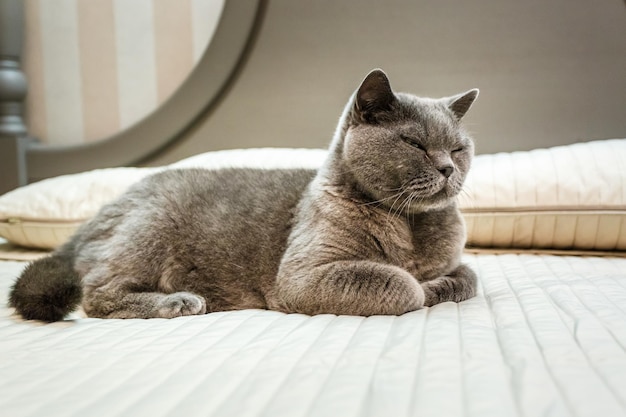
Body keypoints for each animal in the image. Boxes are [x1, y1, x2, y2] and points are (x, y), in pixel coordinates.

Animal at [8, 70, 478, 320]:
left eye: (459, 148)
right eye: (415, 144)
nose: (448, 168)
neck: (411, 225)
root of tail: (93, 219)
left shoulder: (456, 261)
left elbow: (468, 277)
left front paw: (440, 284)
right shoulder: (303, 276)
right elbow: (403, 286)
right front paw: (422, 288)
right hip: (150, 227)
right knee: (97, 294)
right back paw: (179, 301)